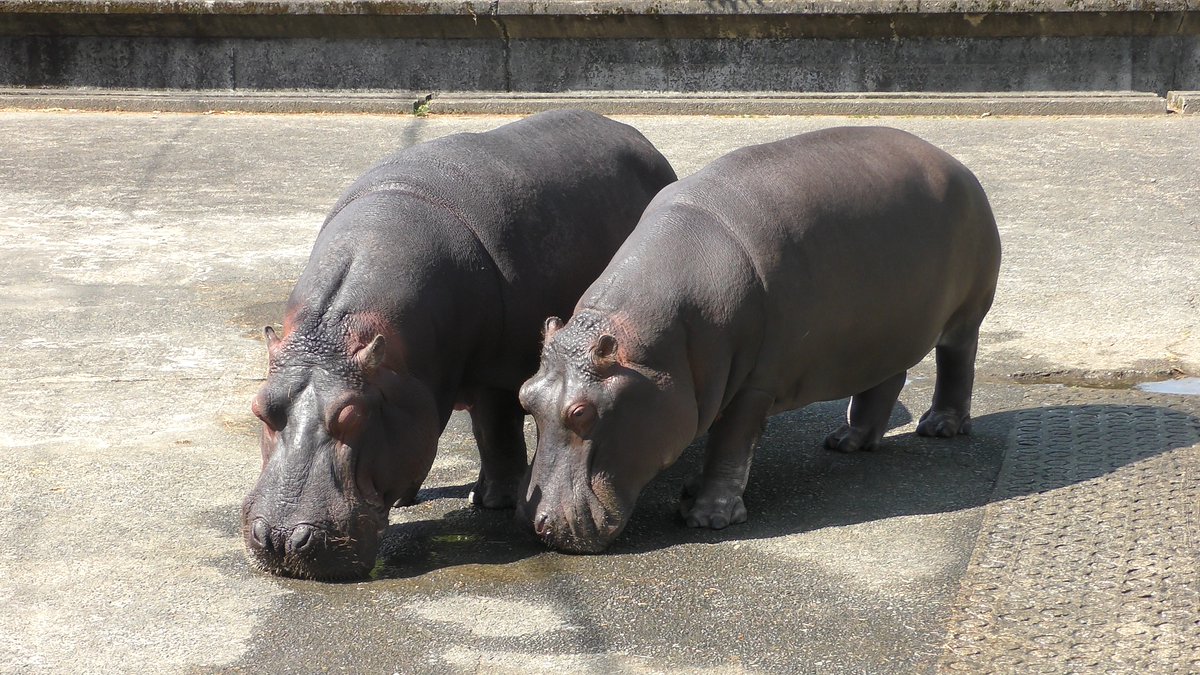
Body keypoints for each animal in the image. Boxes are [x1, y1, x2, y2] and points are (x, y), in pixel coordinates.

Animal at [238, 111, 681, 578]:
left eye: (353, 415)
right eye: (260, 407)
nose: (281, 537)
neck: (335, 334)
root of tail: (632, 132)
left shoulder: (498, 372)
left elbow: (495, 431)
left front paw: (494, 502)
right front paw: (409, 497)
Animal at [520, 126, 998, 552]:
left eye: (582, 413)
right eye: (525, 396)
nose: (540, 525)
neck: (650, 349)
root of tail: (957, 163)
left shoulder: (754, 385)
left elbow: (729, 445)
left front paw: (707, 517)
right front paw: (690, 493)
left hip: (966, 314)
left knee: (957, 361)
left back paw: (939, 427)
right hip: (880, 333)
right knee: (885, 380)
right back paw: (846, 441)